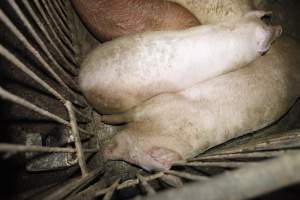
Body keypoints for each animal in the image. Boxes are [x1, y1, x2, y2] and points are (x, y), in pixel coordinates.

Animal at [79, 10, 282, 114]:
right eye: (270, 33)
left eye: (266, 23)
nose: (280, 27)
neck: (238, 30)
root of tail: (81, 79)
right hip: (114, 101)